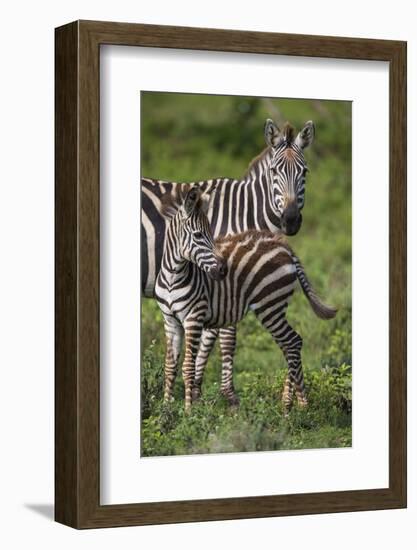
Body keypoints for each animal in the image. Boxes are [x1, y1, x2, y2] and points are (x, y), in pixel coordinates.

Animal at [141, 118, 314, 404]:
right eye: (274, 172)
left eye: (305, 172)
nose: (290, 220)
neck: (243, 213)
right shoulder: (224, 279)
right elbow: (226, 338)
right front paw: (227, 397)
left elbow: (209, 338)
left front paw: (197, 394)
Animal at [154, 187, 336, 414]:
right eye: (197, 235)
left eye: (211, 234)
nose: (223, 271)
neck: (173, 277)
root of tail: (285, 247)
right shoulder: (170, 320)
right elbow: (170, 367)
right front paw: (166, 409)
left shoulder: (193, 318)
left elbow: (188, 367)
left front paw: (188, 412)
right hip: (275, 308)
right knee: (291, 344)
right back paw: (296, 404)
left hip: (270, 306)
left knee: (292, 342)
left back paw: (293, 406)